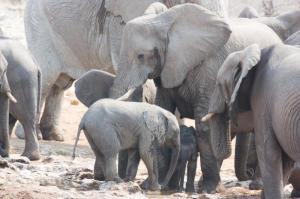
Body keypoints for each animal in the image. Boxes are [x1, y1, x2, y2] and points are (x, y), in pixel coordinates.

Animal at [24, 0, 227, 141]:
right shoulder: (119, 22)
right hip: (39, 26)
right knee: (47, 79)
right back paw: (35, 135)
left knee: (60, 84)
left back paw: (53, 136)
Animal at [107, 3, 282, 193]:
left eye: (141, 56)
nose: (125, 180)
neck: (165, 23)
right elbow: (164, 110)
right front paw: (155, 186)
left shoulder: (212, 69)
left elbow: (204, 125)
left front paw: (209, 189)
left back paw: (256, 185)